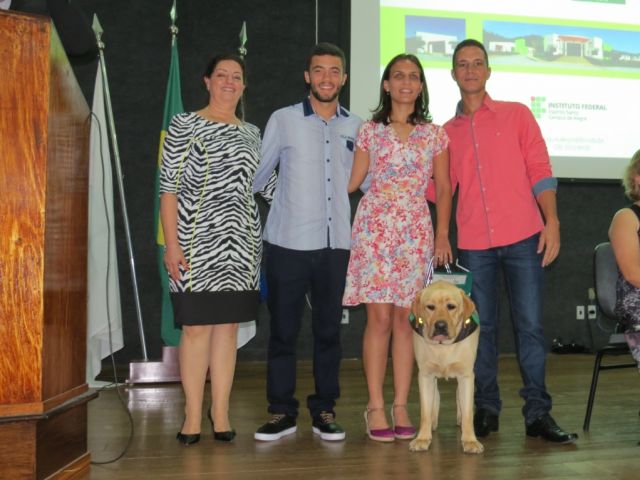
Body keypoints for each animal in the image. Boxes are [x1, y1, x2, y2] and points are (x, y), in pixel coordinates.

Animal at [408, 280, 482, 452]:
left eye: (451, 306)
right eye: (430, 307)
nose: (440, 325)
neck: (443, 346)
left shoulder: (466, 376)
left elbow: (468, 412)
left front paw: (470, 440)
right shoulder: (425, 376)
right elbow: (425, 412)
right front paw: (422, 438)